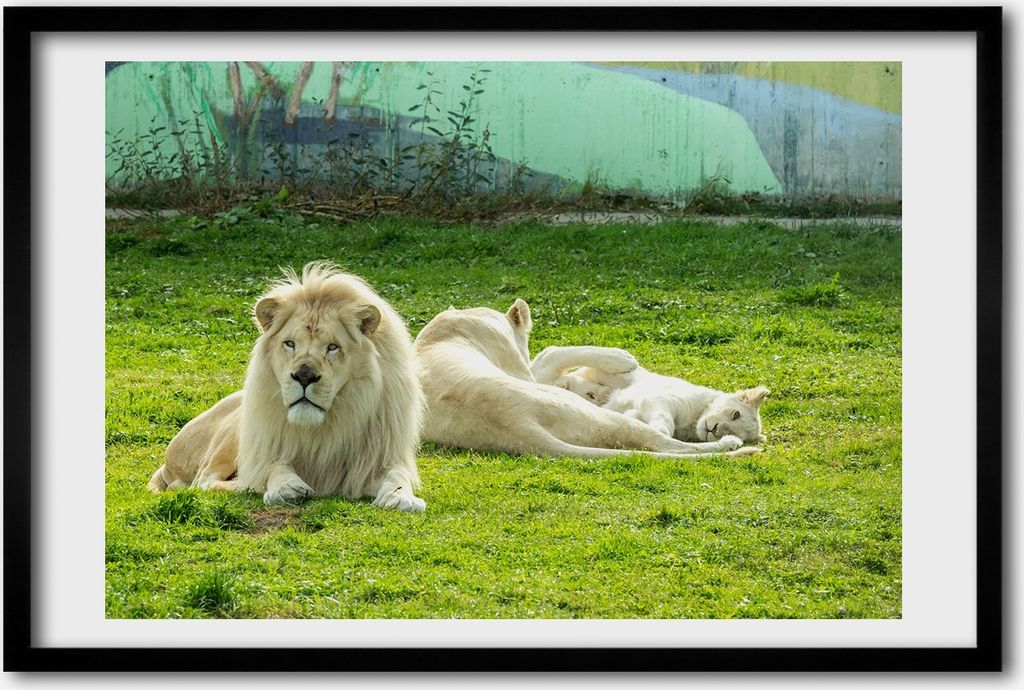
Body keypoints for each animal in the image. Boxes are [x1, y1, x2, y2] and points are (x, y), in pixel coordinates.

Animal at [147, 262, 426, 511]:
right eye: (290, 344)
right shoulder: (267, 446)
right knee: (205, 480)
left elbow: (397, 475)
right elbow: (274, 466)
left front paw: (401, 498)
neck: (326, 427)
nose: (303, 376)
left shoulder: (379, 458)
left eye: (332, 347)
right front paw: (286, 487)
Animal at [413, 299, 759, 459]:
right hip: (598, 417)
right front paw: (623, 359)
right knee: (664, 444)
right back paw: (729, 442)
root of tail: (521, 430)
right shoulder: (527, 369)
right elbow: (553, 351)